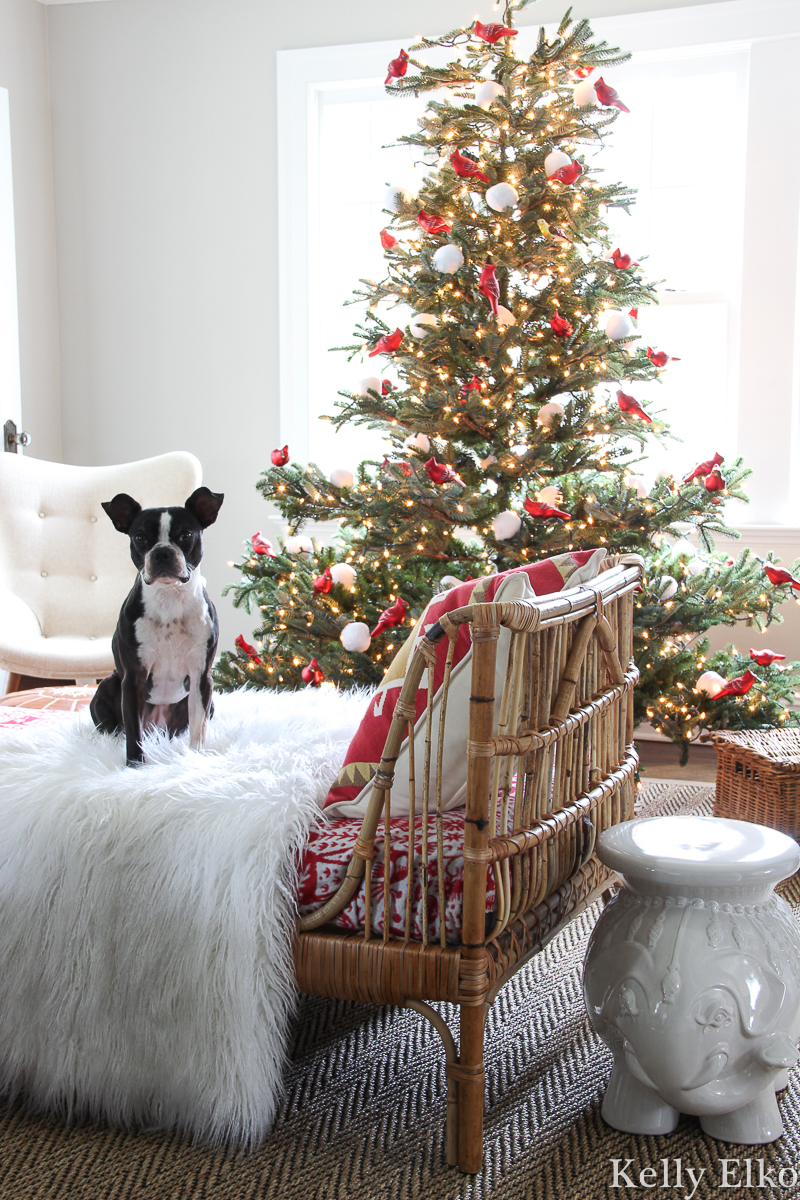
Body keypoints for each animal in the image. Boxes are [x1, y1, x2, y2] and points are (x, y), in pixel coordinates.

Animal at [90, 487, 225, 768]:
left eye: (186, 535)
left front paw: (195, 758)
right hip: (110, 684)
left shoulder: (201, 677)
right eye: (140, 537)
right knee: (115, 729)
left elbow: (198, 728)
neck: (169, 597)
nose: (162, 552)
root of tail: (158, 730)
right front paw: (135, 765)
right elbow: (133, 730)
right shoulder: (133, 678)